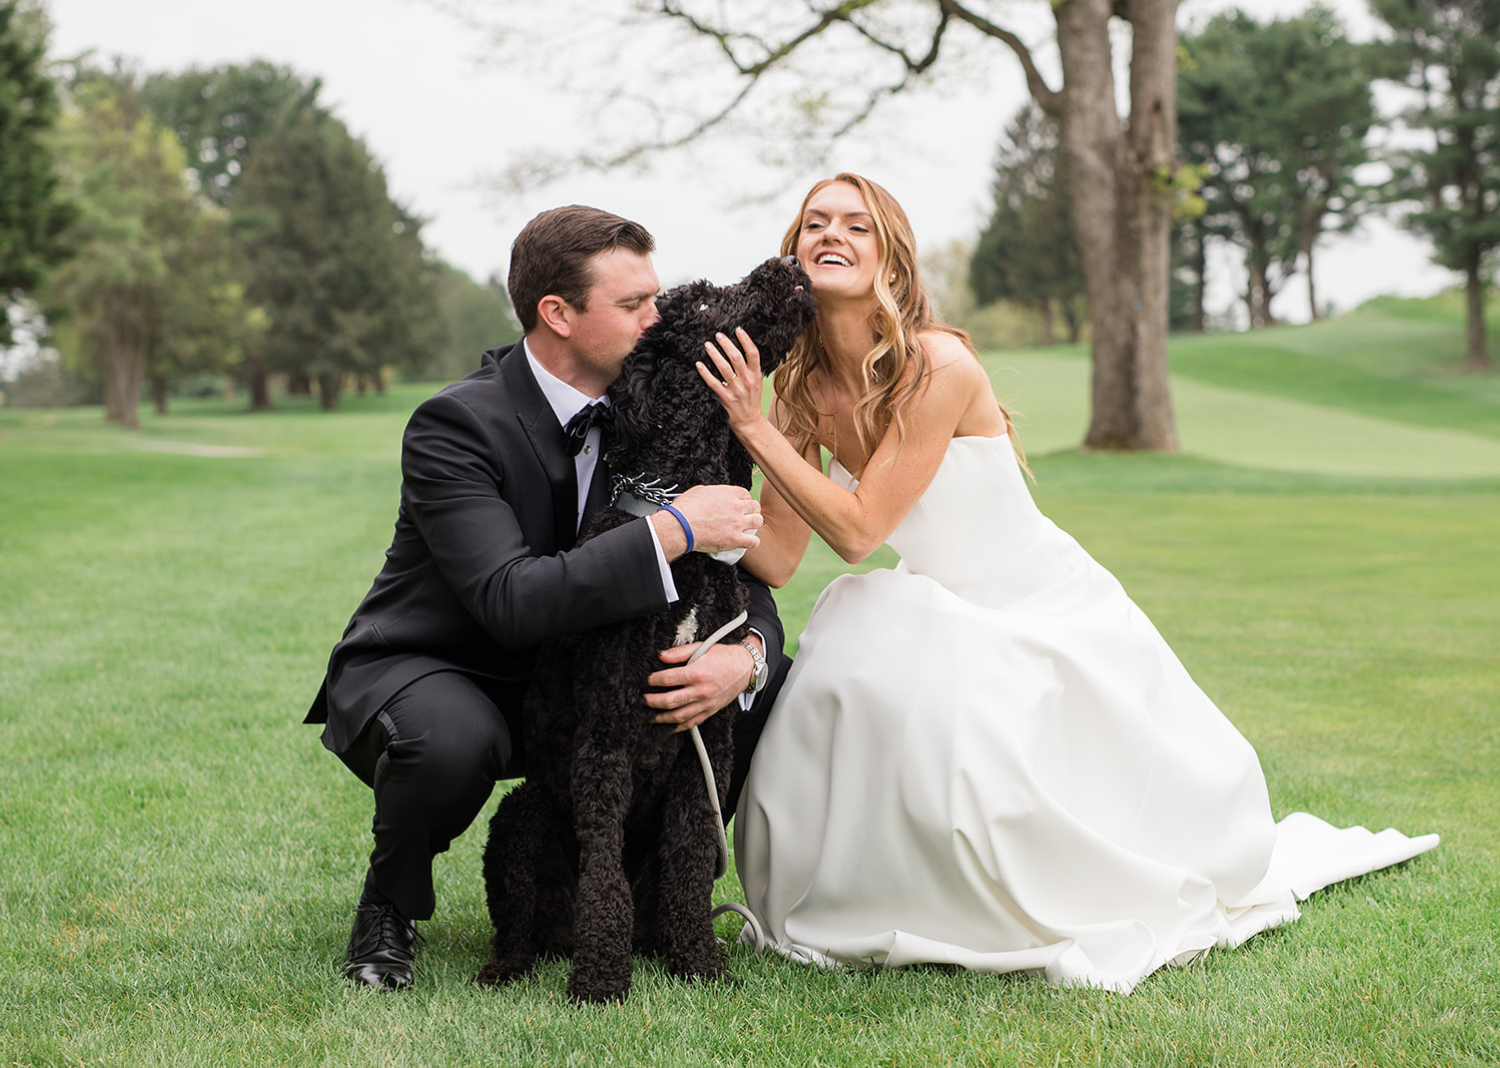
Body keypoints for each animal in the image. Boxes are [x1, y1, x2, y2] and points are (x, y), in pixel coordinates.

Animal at [474, 255, 816, 1008]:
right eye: (706, 303)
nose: (790, 262)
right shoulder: (606, 741)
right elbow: (603, 870)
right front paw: (601, 979)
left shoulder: (705, 742)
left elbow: (689, 861)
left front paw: (698, 963)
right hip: (520, 816)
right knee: (520, 920)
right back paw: (514, 965)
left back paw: (659, 944)